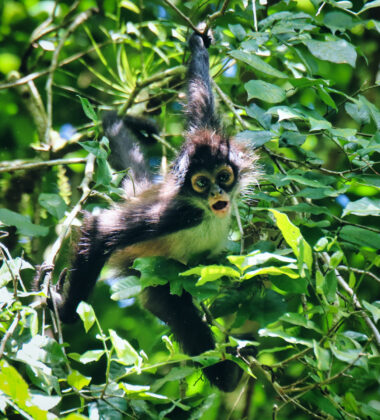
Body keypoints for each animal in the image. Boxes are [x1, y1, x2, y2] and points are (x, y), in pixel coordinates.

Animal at [43, 31, 258, 392]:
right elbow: (100, 228)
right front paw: (68, 312)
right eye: (201, 183)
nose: (217, 193)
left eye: (223, 177)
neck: (205, 210)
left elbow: (201, 106)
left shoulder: (208, 136)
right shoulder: (178, 213)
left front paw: (199, 47)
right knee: (179, 309)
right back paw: (225, 376)